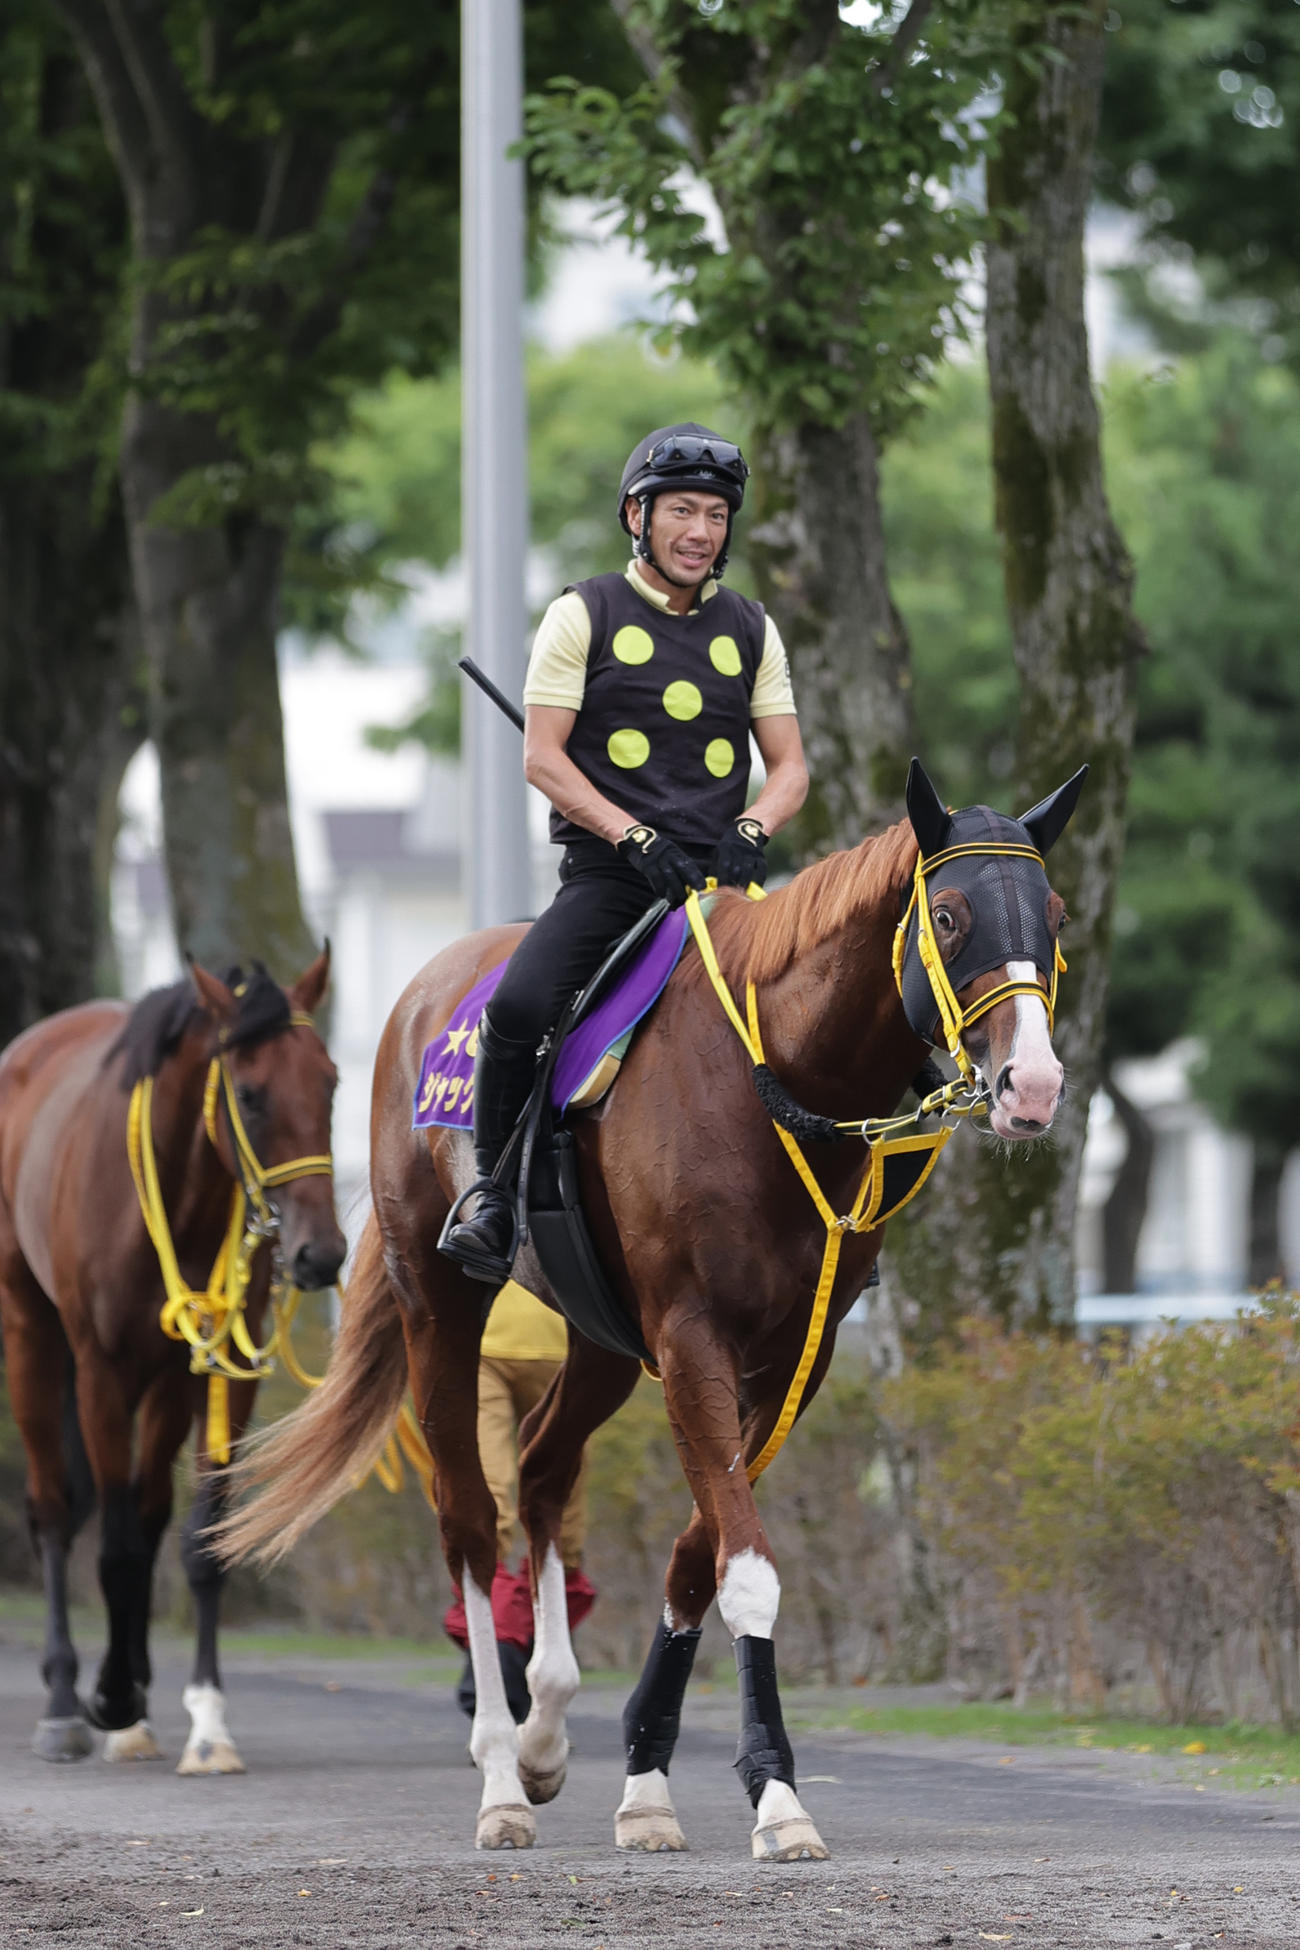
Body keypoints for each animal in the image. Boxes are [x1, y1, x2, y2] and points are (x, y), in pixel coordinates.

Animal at [0, 950, 345, 1769]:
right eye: (249, 1095)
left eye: (330, 1082)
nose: (320, 1254)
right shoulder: (102, 1369)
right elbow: (116, 1542)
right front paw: (109, 1695)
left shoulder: (211, 1370)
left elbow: (196, 1538)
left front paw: (206, 1720)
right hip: (31, 1332)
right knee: (55, 1508)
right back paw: (66, 1698)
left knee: (148, 1509)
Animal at [219, 761, 1085, 1858]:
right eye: (949, 913)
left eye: (1054, 915)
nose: (1033, 1086)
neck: (772, 1080)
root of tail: (428, 987)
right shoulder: (691, 1338)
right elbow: (743, 1564)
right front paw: (777, 1793)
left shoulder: (789, 1358)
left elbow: (696, 1554)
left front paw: (646, 1778)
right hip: (441, 1305)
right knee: (470, 1521)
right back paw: (499, 1775)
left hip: (599, 1342)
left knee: (543, 1472)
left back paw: (547, 1728)